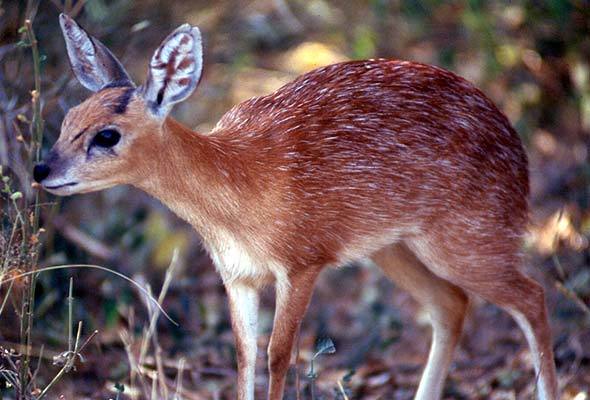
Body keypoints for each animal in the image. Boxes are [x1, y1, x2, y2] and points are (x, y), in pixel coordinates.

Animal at [34, 14, 560, 398]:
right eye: (68, 118)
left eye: (108, 135)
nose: (42, 171)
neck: (242, 187)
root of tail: (520, 153)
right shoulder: (238, 275)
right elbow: (244, 357)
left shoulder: (303, 261)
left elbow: (278, 354)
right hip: (394, 248)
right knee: (451, 304)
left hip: (467, 238)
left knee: (533, 297)